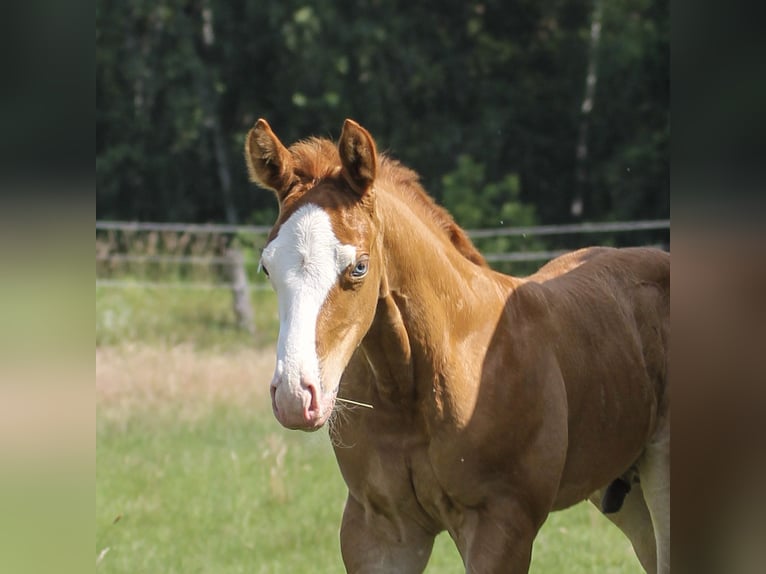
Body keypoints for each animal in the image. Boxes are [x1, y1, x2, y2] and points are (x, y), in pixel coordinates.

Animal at [244, 118, 670, 573]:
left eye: (359, 266)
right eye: (266, 267)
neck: (412, 385)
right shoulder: (379, 530)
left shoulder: (500, 526)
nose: (294, 395)